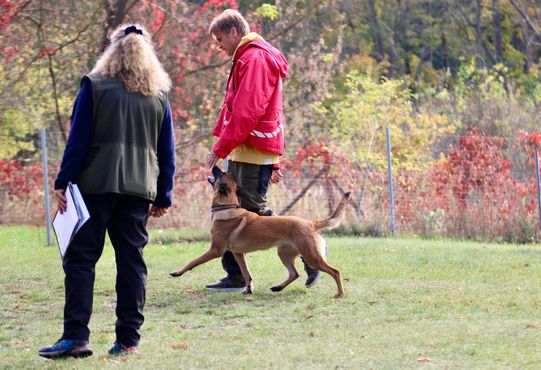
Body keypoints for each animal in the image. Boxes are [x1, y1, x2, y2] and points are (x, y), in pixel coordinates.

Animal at [170, 166, 350, 300]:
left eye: (221, 174)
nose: (215, 166)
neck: (226, 206)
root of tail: (311, 223)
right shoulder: (238, 254)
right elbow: (246, 273)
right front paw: (248, 290)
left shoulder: (215, 250)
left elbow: (193, 261)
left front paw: (177, 272)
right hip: (284, 254)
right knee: (294, 273)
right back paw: (278, 287)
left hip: (310, 255)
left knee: (335, 271)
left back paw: (340, 293)